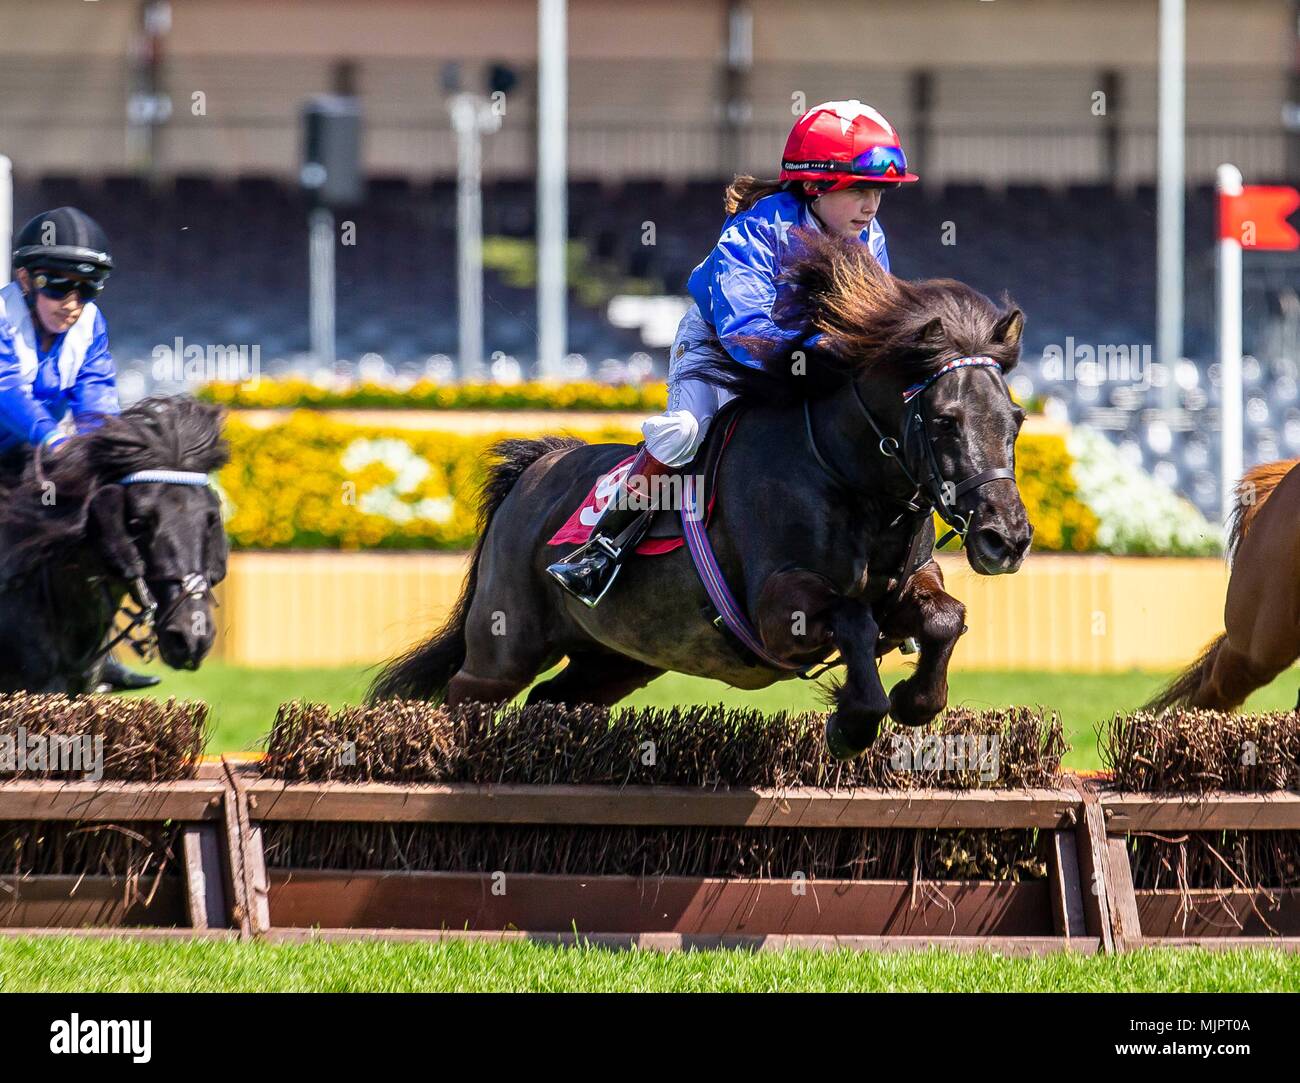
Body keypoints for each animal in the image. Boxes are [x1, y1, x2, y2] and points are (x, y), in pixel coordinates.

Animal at [377, 232, 1034, 754]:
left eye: (1016, 419)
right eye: (945, 420)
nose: (1006, 538)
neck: (851, 482)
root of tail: (539, 464)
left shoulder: (910, 585)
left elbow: (945, 617)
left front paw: (915, 700)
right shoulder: (777, 610)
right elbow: (852, 620)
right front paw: (852, 723)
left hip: (614, 659)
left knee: (551, 699)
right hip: (505, 644)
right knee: (465, 693)